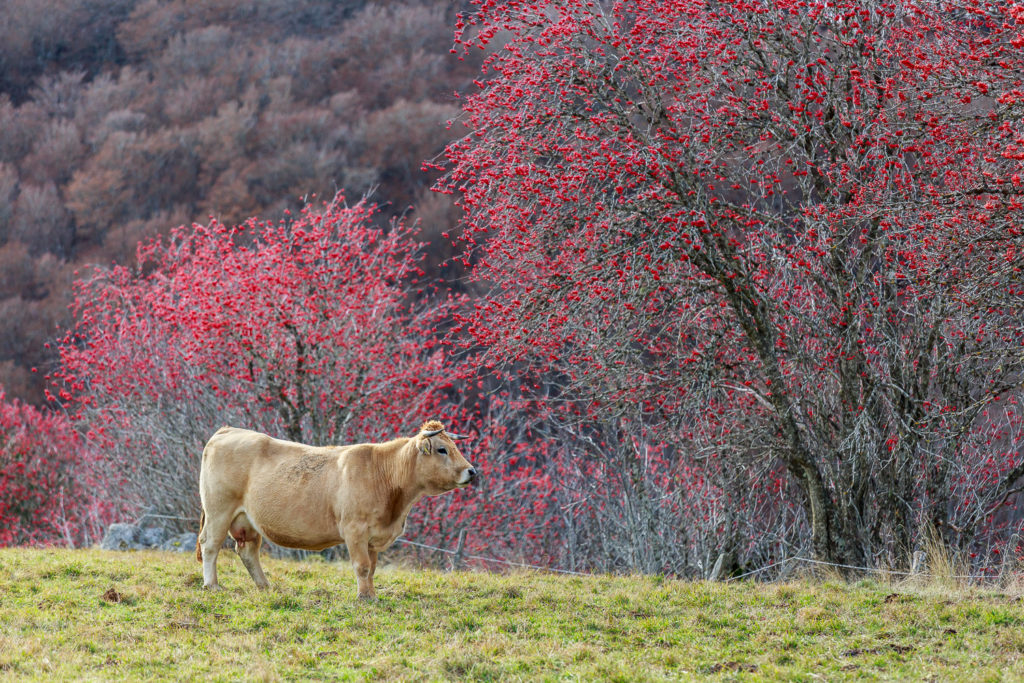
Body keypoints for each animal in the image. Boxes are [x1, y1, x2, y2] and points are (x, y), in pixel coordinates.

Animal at [197, 419, 477, 602]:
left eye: (455, 447)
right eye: (442, 449)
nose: (472, 471)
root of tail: (227, 430)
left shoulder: (373, 537)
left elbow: (371, 568)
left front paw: (371, 594)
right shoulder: (355, 530)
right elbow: (361, 566)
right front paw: (364, 598)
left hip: (247, 520)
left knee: (247, 551)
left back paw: (265, 586)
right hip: (219, 511)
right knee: (210, 545)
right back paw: (212, 585)